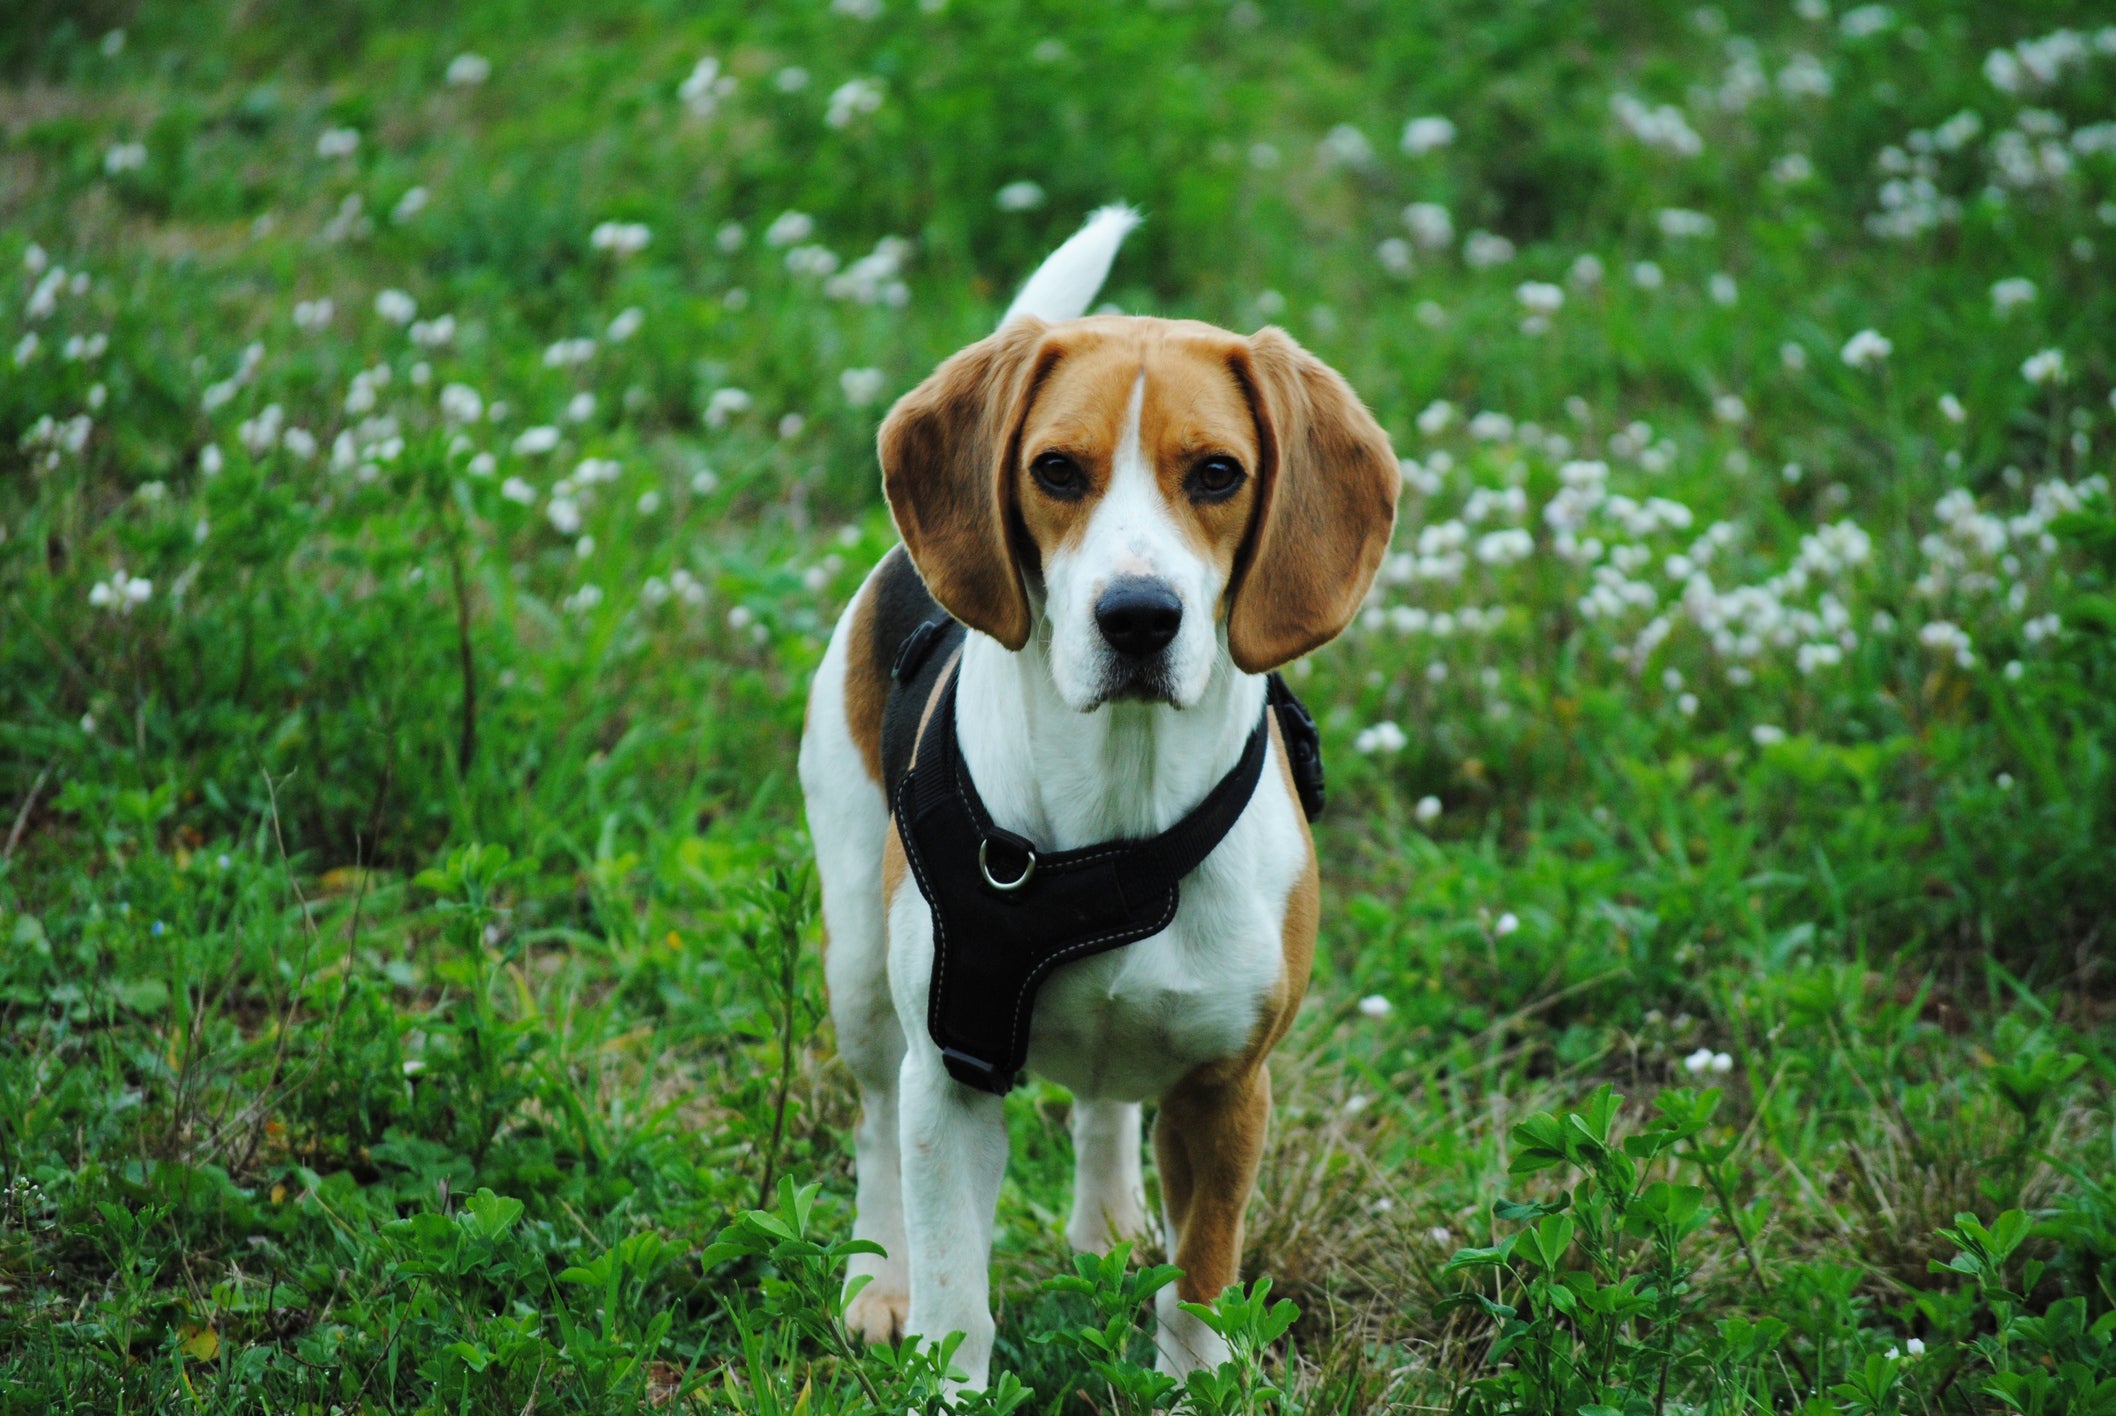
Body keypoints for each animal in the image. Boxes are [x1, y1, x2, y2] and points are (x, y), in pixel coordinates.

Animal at [799, 204, 1396, 1388]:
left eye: (1217, 473)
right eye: (1056, 471)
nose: (1138, 616)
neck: (1122, 808)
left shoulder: (1228, 1089)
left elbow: (1201, 1282)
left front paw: (1197, 1385)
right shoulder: (952, 1075)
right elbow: (957, 1298)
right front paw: (944, 1381)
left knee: (1106, 1105)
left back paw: (1110, 1227)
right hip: (860, 973)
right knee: (877, 1127)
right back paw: (875, 1281)